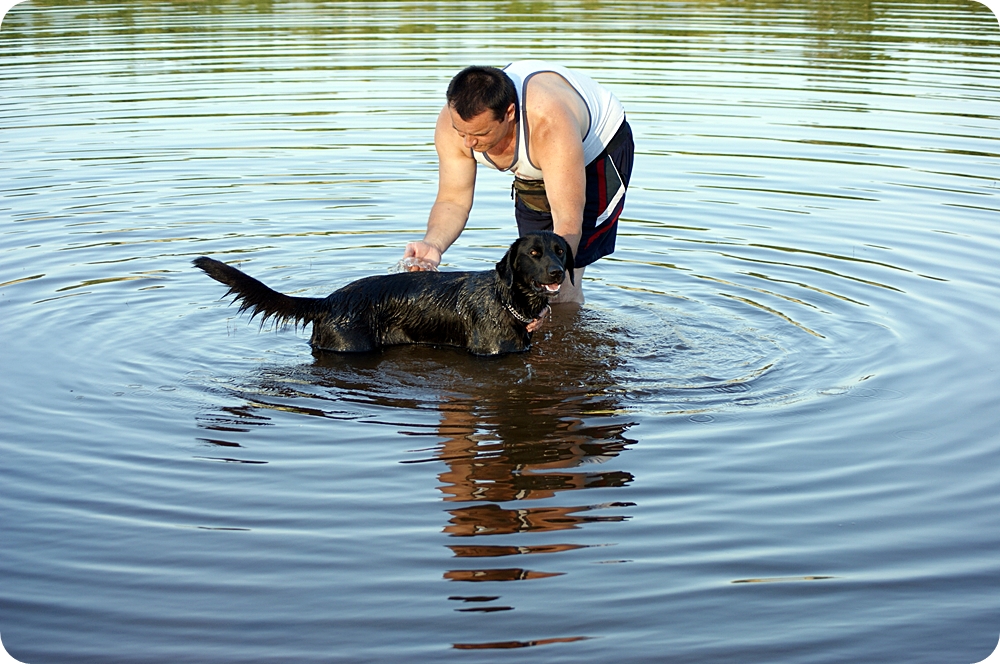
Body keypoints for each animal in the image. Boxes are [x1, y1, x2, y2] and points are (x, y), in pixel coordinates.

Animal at [191, 233, 576, 358]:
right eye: (534, 254)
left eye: (559, 250)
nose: (557, 272)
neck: (506, 301)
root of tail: (328, 301)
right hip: (351, 346)